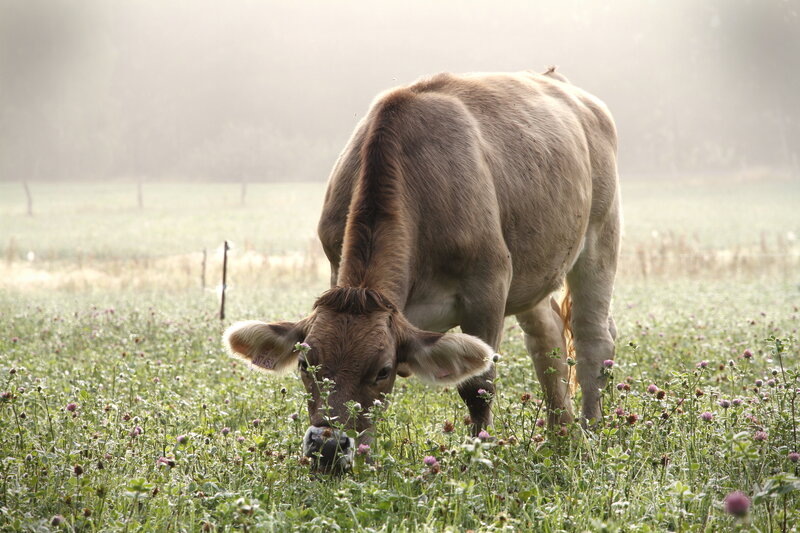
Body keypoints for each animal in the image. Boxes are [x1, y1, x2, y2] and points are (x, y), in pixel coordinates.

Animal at [224, 68, 620, 471]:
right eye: (306, 363)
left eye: (382, 369)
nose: (329, 445)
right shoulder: (336, 266)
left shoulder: (489, 287)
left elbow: (478, 387)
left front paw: (477, 457)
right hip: (534, 271)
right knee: (548, 338)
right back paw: (562, 435)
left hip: (601, 233)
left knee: (592, 339)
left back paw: (590, 434)